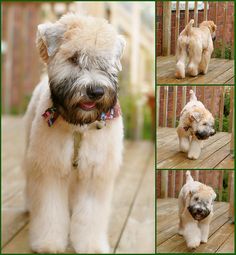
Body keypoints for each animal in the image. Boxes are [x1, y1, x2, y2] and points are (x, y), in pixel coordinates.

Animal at [22, 13, 125, 253]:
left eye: (104, 63)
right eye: (74, 58)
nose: (96, 91)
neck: (80, 126)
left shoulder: (95, 173)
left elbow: (90, 215)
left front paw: (91, 245)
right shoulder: (50, 168)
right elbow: (50, 211)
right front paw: (49, 243)